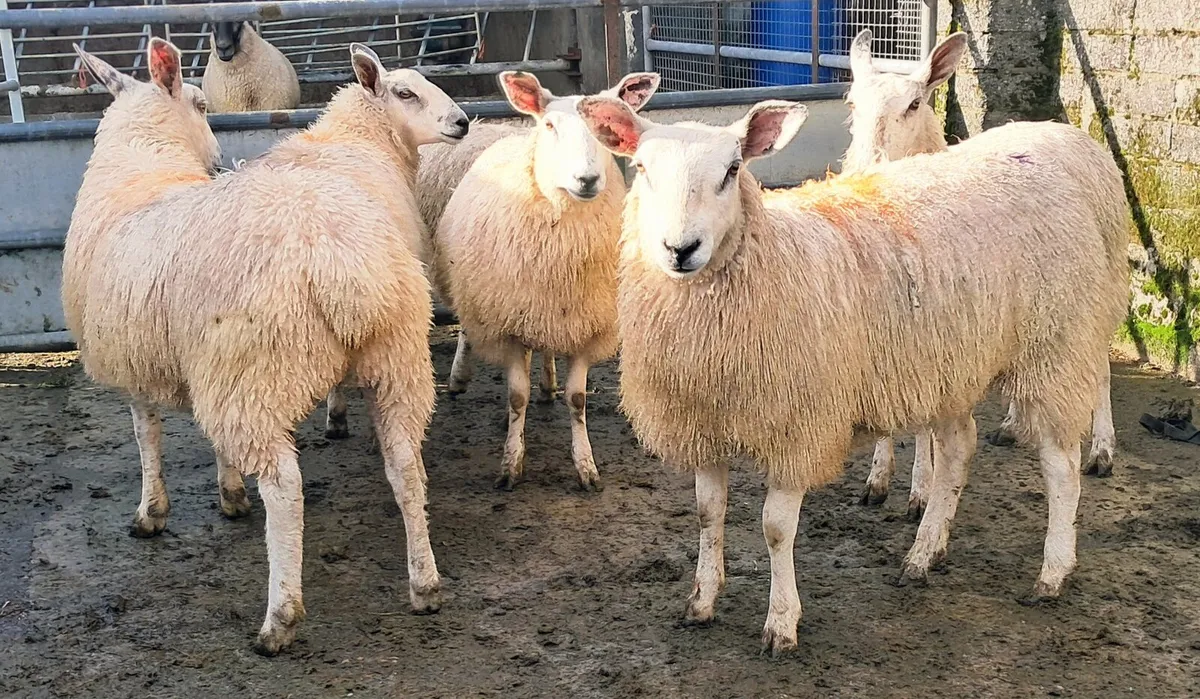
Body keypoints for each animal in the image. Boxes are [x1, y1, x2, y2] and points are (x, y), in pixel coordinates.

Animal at [64, 40, 468, 655]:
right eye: (405, 92)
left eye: (201, 103)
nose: (463, 122)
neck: (141, 170)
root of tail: (336, 254)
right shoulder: (194, 362)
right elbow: (196, 439)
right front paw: (228, 493)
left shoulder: (143, 366)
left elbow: (145, 437)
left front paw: (152, 512)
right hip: (391, 359)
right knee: (404, 464)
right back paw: (424, 583)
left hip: (257, 370)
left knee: (285, 487)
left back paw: (280, 617)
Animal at [431, 71, 649, 492]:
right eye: (550, 126)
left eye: (605, 130)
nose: (587, 179)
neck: (560, 258)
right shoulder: (510, 326)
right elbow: (517, 397)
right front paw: (511, 465)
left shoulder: (586, 327)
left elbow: (578, 399)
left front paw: (586, 468)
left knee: (546, 350)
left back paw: (548, 385)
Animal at [576, 96, 1129, 654]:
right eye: (642, 168)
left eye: (733, 170)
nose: (680, 249)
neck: (771, 261)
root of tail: (1067, 138)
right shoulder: (704, 423)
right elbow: (708, 512)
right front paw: (702, 601)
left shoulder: (799, 428)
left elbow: (776, 528)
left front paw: (782, 623)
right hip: (953, 364)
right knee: (957, 452)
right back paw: (924, 554)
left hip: (1057, 343)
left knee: (1060, 466)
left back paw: (1053, 572)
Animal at [844, 29, 1120, 518]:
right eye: (854, 104)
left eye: (915, 104)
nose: (869, 166)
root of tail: (1053, 124)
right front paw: (878, 478)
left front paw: (920, 490)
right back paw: (1012, 424)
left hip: (1094, 282)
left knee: (1100, 365)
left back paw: (1102, 450)